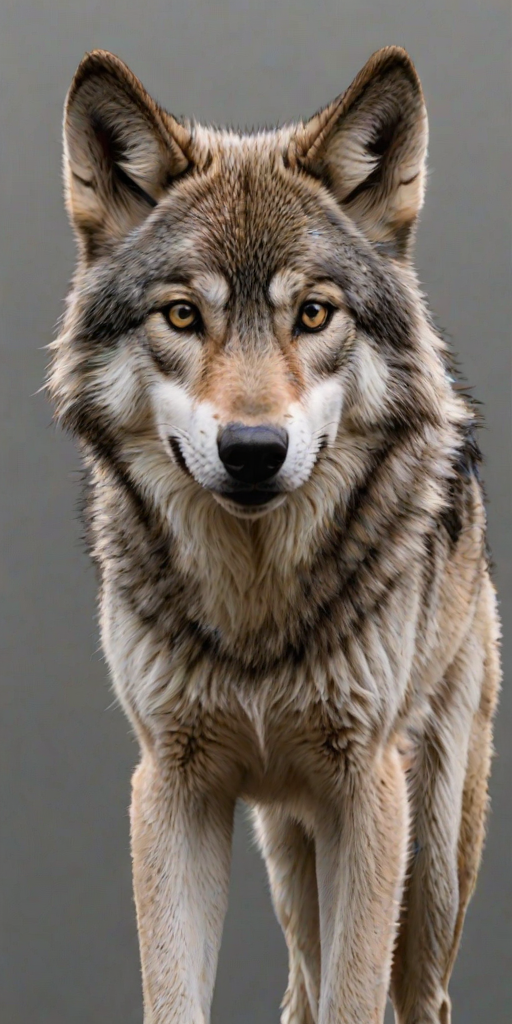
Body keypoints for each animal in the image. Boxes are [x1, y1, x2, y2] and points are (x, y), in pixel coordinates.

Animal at [48, 45, 501, 1024]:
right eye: (183, 315)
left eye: (314, 314)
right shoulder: (171, 787)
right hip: (289, 847)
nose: (253, 451)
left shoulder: (367, 792)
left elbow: (356, 1000)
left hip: (433, 854)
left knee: (421, 994)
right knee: (298, 984)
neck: (255, 609)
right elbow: (177, 997)